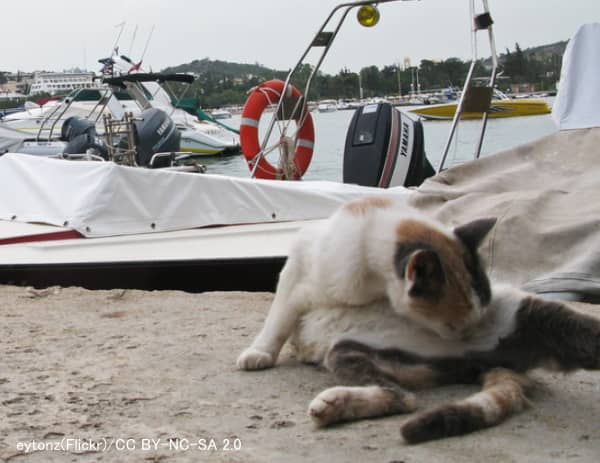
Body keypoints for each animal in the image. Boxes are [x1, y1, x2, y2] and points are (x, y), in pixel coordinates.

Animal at [236, 196, 600, 442]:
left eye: (473, 319)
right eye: (454, 326)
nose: (470, 335)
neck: (371, 284)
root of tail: (481, 363)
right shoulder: (296, 273)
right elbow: (278, 319)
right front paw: (259, 353)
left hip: (539, 314)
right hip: (347, 352)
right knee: (403, 397)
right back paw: (334, 405)